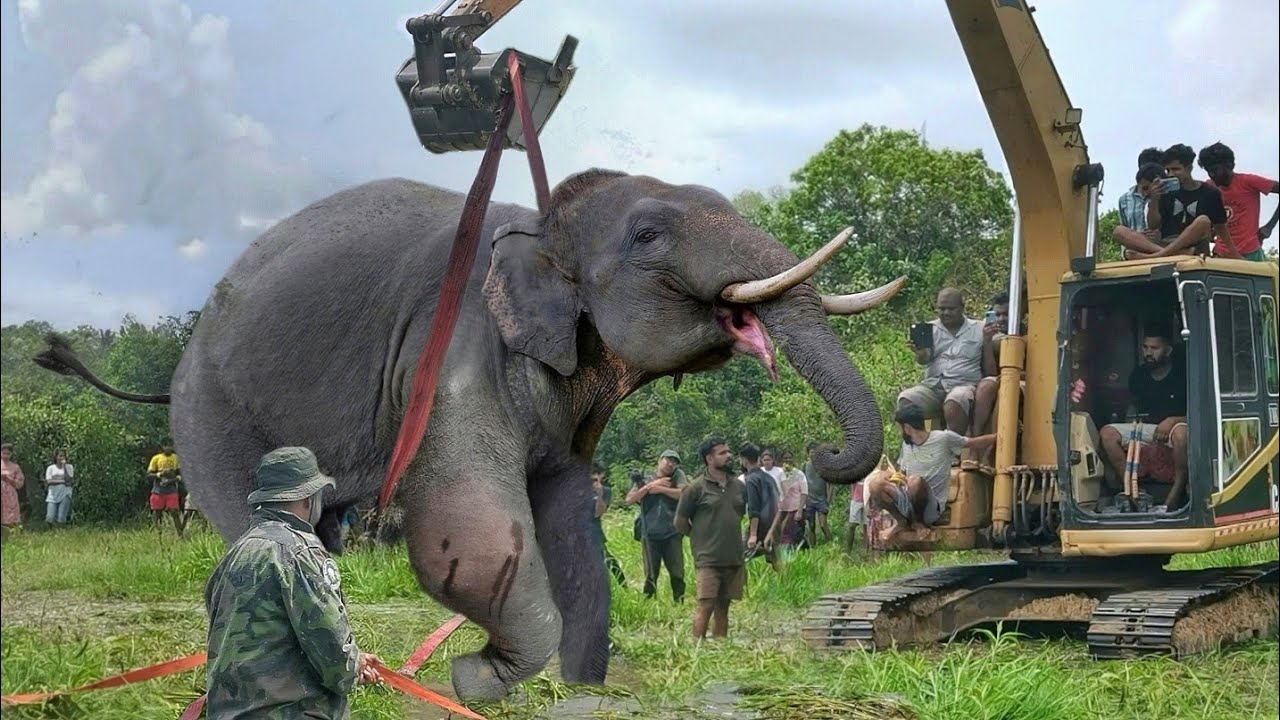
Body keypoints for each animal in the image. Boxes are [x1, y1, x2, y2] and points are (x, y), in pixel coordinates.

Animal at [35, 169, 903, 701]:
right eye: (650, 235)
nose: (824, 454)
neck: (542, 223)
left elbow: (568, 522)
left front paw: (577, 688)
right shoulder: (452, 348)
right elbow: (469, 531)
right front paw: (474, 680)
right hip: (210, 414)